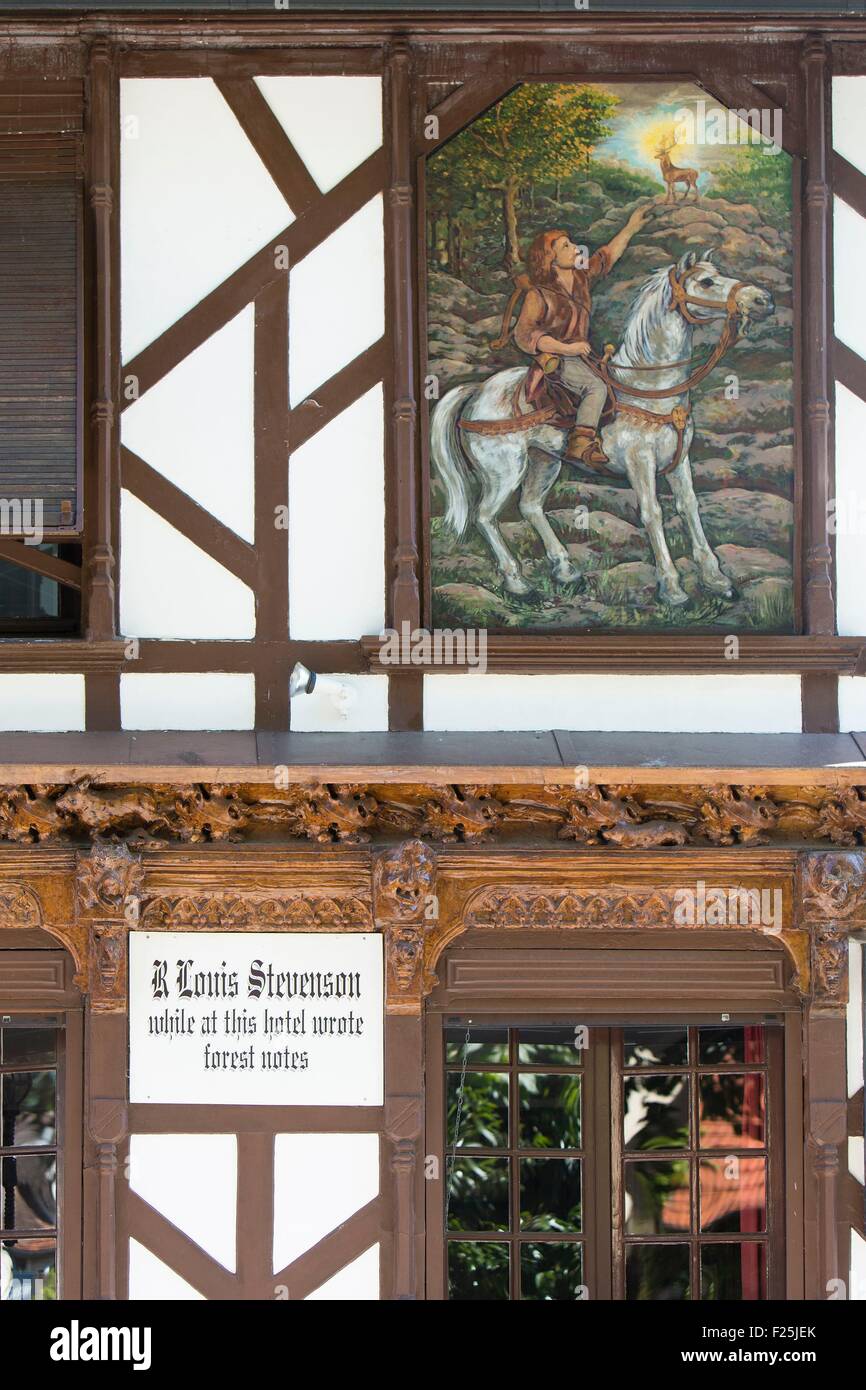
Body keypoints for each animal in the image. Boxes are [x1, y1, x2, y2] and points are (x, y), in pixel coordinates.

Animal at [430, 251, 778, 608]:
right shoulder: (641, 463)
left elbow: (690, 507)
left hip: (544, 461)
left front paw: (717, 580)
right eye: (707, 282)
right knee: (484, 516)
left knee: (530, 506)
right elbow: (652, 513)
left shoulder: (679, 461)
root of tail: (476, 391)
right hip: (504, 472)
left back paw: (565, 569)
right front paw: (672, 588)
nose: (763, 299)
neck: (648, 388)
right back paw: (518, 583)